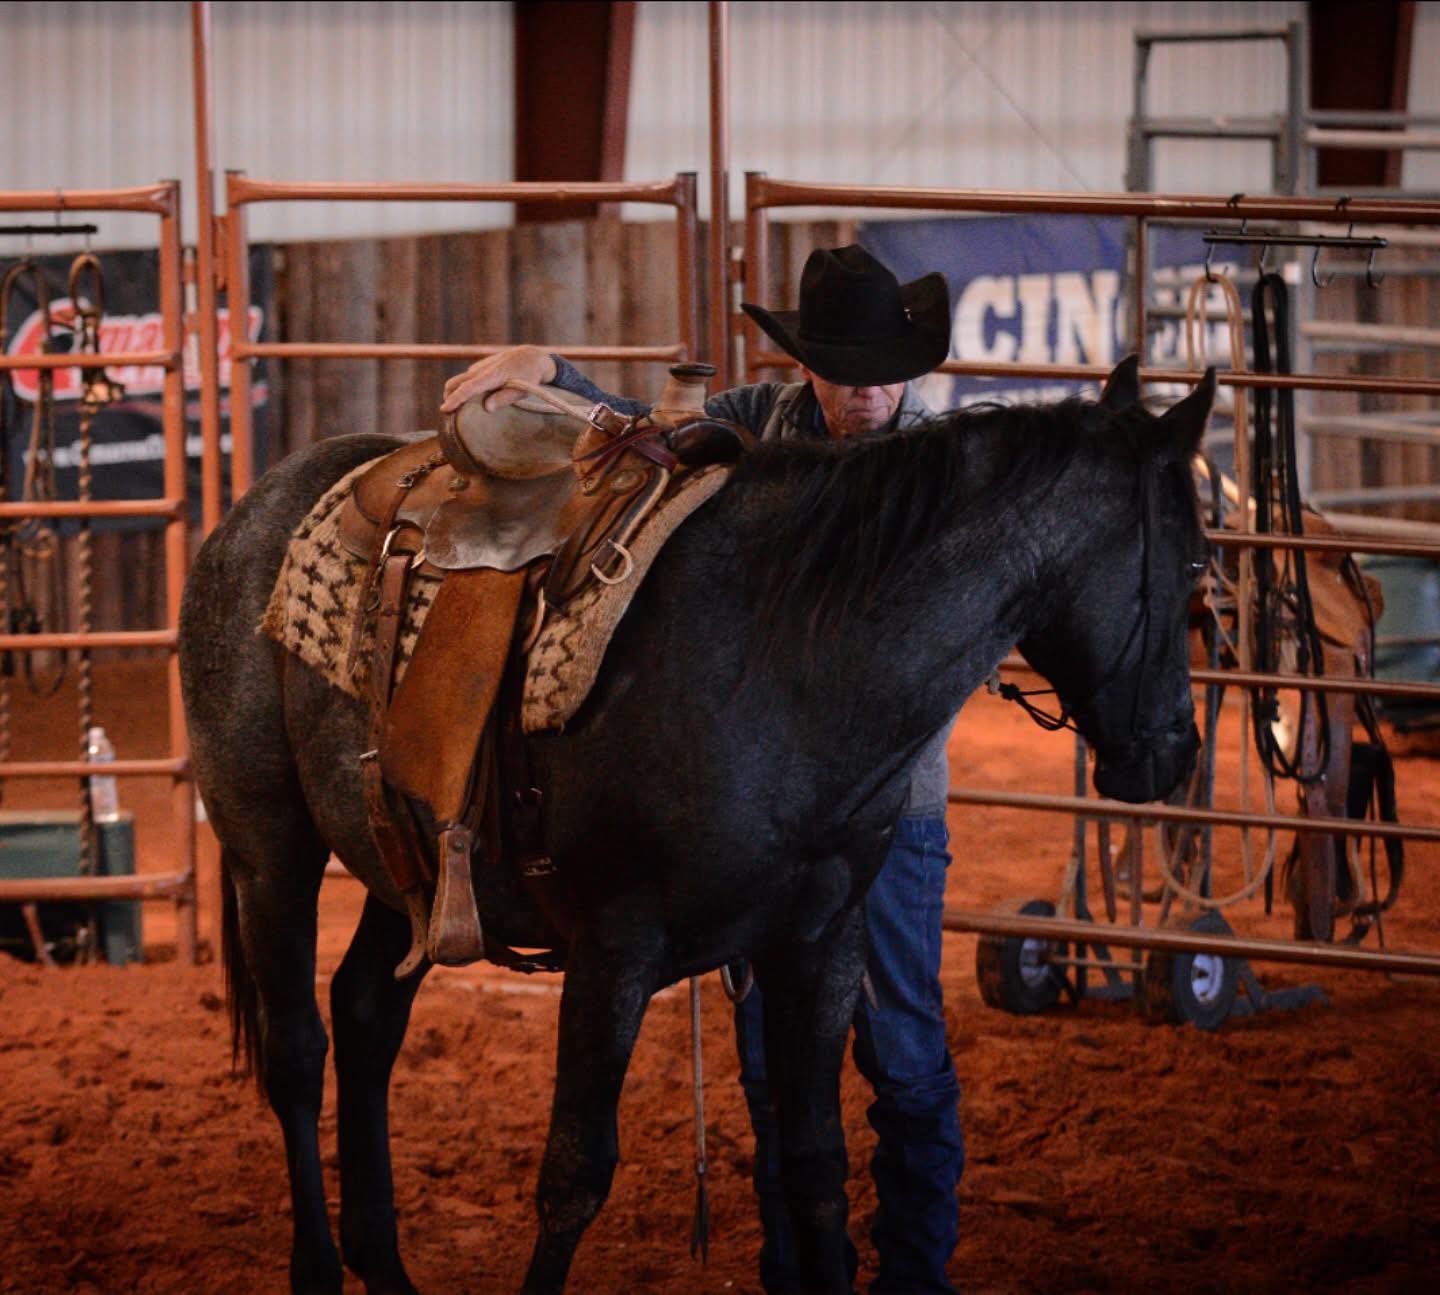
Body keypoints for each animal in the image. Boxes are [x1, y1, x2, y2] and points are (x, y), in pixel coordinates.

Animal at [178, 355, 1213, 1294]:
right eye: (1201, 564)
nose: (1175, 750)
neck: (786, 653)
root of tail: (250, 511)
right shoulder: (614, 950)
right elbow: (574, 1173)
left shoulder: (822, 943)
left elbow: (816, 1161)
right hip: (268, 849)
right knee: (297, 1050)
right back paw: (318, 1267)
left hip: (408, 868)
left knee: (364, 1013)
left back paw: (385, 1268)